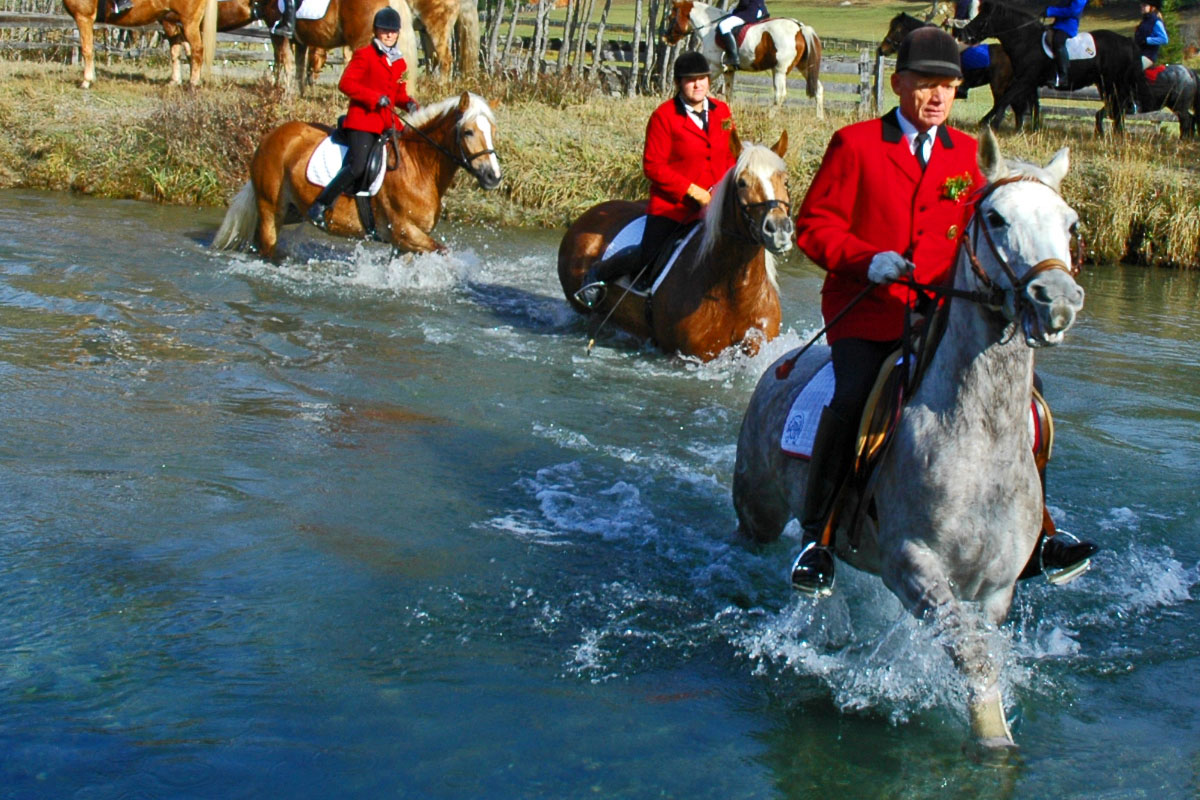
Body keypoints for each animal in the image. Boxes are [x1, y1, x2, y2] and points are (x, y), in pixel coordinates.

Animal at [211, 92, 501, 260]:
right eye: (468, 132)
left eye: (493, 131)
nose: (493, 177)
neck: (417, 165)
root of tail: (271, 136)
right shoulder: (405, 232)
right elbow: (443, 252)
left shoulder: (404, 242)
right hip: (271, 208)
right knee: (267, 244)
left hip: (292, 209)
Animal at [556, 131, 792, 362]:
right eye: (742, 182)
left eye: (785, 181)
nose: (779, 229)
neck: (734, 290)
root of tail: (587, 215)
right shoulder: (690, 356)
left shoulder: (757, 341)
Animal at [667, 0, 825, 117]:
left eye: (671, 17)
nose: (665, 38)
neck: (710, 28)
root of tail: (799, 27)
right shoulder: (728, 71)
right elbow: (728, 93)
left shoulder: (715, 67)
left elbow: (706, 90)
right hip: (804, 67)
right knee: (818, 89)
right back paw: (819, 118)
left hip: (780, 70)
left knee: (780, 95)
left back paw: (769, 117)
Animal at [729, 130, 1089, 753]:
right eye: (996, 217)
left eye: (1069, 224)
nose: (1057, 301)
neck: (977, 436)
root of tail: (782, 366)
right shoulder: (913, 566)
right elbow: (970, 656)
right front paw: (993, 740)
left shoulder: (995, 589)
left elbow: (983, 648)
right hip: (758, 515)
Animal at [955, 0, 1142, 134]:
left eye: (981, 19)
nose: (962, 35)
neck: (1026, 40)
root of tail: (1127, 41)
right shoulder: (1030, 82)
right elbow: (1033, 105)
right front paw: (1033, 130)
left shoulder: (1024, 80)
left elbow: (1005, 99)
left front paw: (989, 123)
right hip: (1105, 83)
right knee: (1116, 104)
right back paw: (1112, 132)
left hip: (1113, 81)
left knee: (1118, 103)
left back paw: (1109, 129)